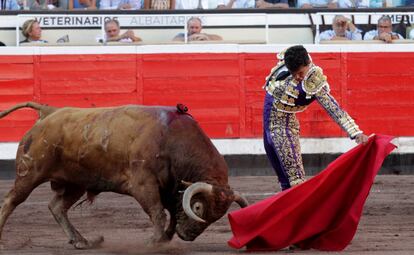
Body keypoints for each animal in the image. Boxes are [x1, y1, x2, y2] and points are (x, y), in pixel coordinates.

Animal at [0, 101, 246, 249]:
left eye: (217, 217)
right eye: (197, 207)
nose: (189, 236)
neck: (173, 139)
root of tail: (48, 112)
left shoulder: (170, 187)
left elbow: (171, 213)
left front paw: (165, 239)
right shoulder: (143, 184)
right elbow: (158, 212)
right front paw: (154, 243)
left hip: (75, 182)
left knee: (57, 206)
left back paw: (81, 241)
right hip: (30, 173)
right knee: (11, 200)